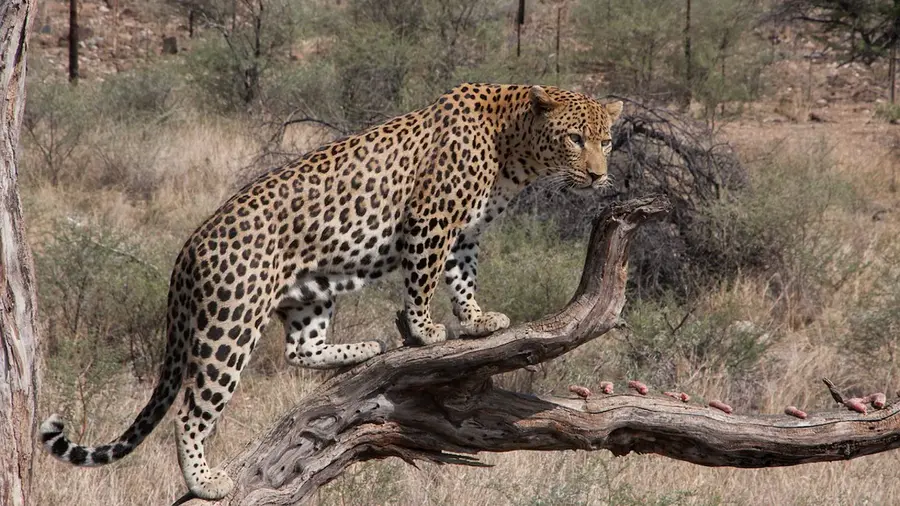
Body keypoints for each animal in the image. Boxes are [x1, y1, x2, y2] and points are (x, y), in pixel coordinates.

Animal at [40, 83, 623, 500]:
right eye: (575, 139)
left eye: (607, 140)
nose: (600, 177)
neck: (513, 147)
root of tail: (189, 245)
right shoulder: (430, 221)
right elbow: (423, 278)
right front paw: (425, 331)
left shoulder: (464, 233)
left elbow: (462, 278)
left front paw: (475, 320)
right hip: (230, 324)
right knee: (192, 410)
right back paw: (204, 481)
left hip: (311, 292)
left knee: (301, 349)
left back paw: (364, 349)